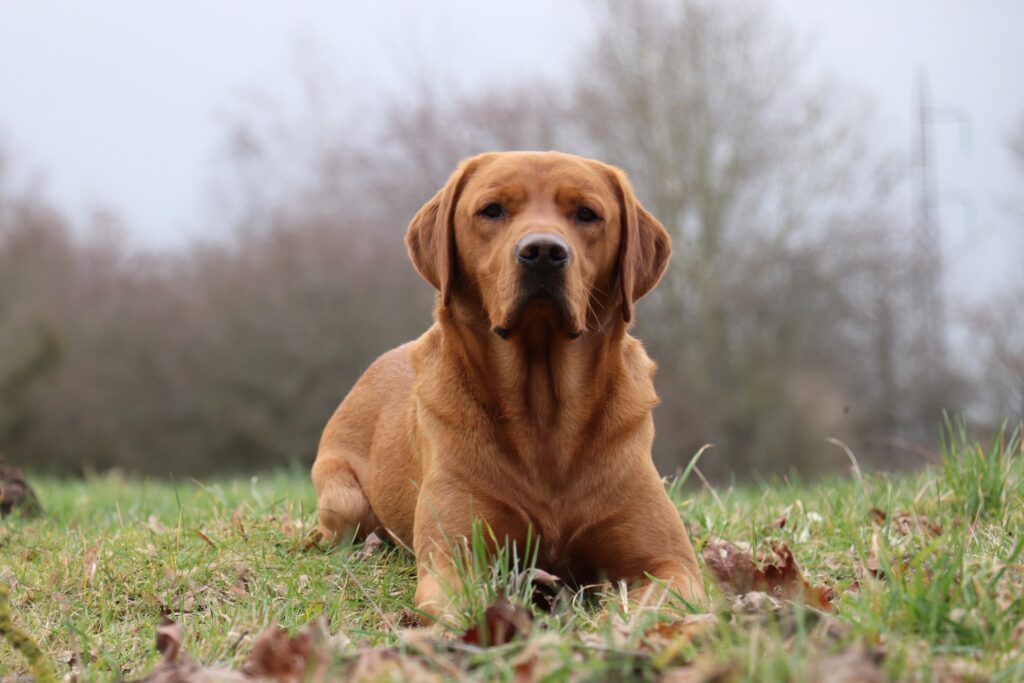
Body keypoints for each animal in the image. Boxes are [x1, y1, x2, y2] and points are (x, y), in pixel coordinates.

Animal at [311, 150, 704, 618]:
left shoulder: (669, 563)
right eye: (492, 210)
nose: (544, 252)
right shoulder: (455, 556)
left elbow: (655, 602)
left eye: (587, 214)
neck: (543, 416)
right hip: (343, 500)